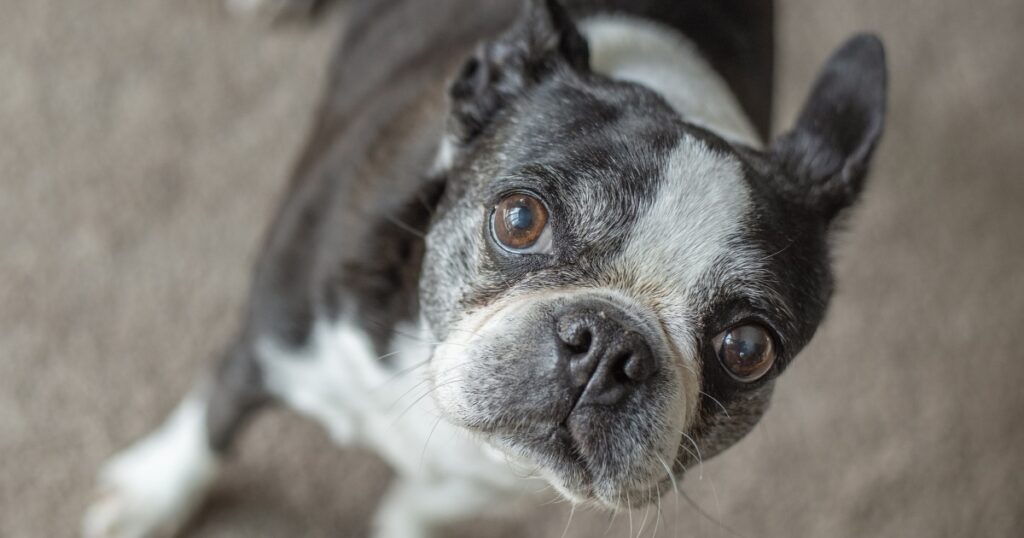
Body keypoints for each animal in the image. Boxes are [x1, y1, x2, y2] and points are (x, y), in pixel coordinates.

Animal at [81, 0, 888, 532]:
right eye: (519, 219)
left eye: (748, 348)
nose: (608, 345)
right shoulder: (273, 338)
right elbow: (211, 422)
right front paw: (153, 495)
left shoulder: (483, 492)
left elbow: (415, 512)